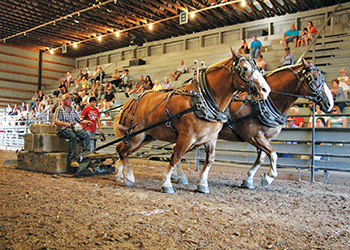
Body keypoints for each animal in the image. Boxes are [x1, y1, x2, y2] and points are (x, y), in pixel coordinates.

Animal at [113, 48, 270, 193]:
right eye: (245, 68)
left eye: (258, 68)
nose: (265, 90)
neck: (201, 100)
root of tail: (128, 104)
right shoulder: (186, 136)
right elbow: (176, 157)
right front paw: (167, 184)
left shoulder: (211, 138)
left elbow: (209, 161)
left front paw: (203, 185)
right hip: (136, 137)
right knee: (121, 150)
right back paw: (128, 177)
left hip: (146, 137)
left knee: (124, 152)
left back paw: (121, 175)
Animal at [174, 58, 334, 188]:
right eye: (314, 78)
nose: (330, 103)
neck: (263, 102)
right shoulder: (254, 136)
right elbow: (273, 154)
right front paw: (268, 178)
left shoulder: (263, 138)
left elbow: (261, 158)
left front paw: (249, 179)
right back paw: (179, 176)